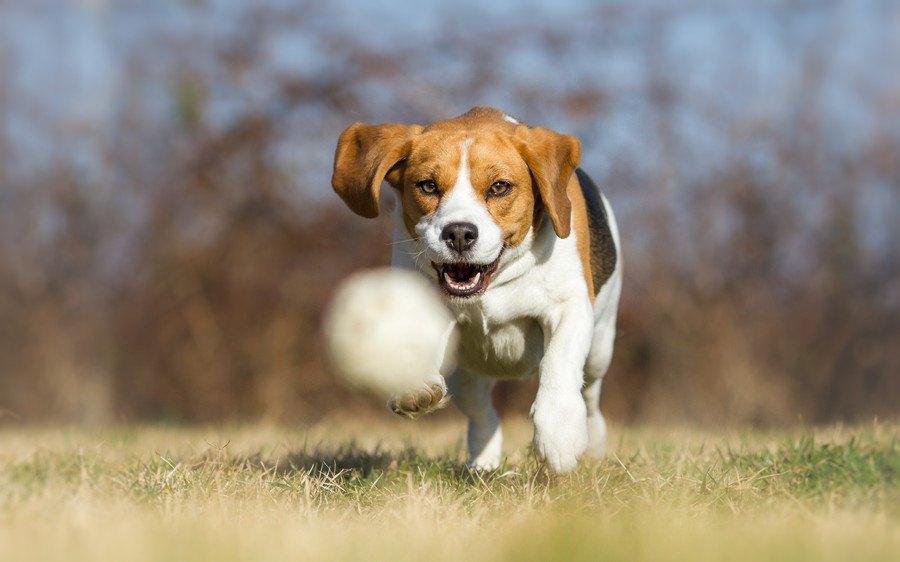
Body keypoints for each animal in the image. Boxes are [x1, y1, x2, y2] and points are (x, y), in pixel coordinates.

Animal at [330, 107, 620, 470]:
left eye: (499, 187)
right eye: (428, 185)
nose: (458, 233)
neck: (493, 283)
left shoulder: (569, 307)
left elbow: (559, 362)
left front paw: (559, 436)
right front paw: (413, 385)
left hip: (599, 349)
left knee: (590, 396)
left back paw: (592, 442)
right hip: (465, 375)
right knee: (483, 414)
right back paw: (484, 462)